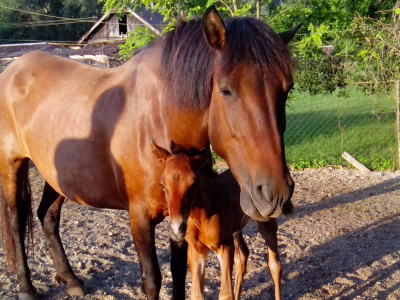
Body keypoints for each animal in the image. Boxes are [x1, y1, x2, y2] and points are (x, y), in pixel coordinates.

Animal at [150, 141, 290, 300]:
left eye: (194, 184)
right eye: (162, 185)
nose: (176, 228)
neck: (201, 218)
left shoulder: (224, 247)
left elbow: (225, 294)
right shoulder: (196, 250)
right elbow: (196, 294)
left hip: (265, 222)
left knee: (275, 264)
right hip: (235, 229)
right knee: (242, 257)